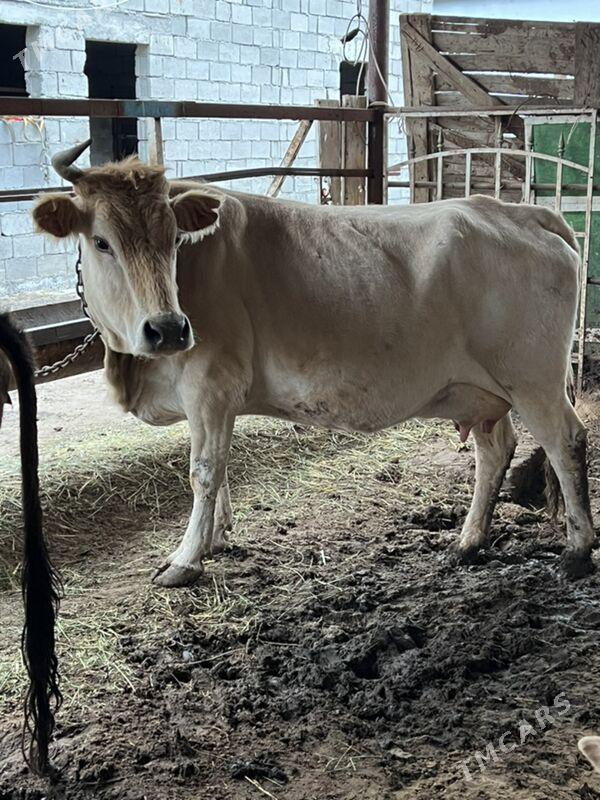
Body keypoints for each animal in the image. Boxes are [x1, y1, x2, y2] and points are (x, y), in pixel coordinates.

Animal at [31, 140, 595, 588]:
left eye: (174, 239)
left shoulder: (210, 385)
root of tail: (517, 211)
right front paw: (215, 537)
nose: (169, 329)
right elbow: (219, 470)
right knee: (495, 451)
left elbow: (203, 471)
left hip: (534, 379)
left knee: (566, 441)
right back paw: (469, 541)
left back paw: (577, 549)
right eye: (101, 241)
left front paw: (185, 560)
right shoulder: (211, 401)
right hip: (481, 390)